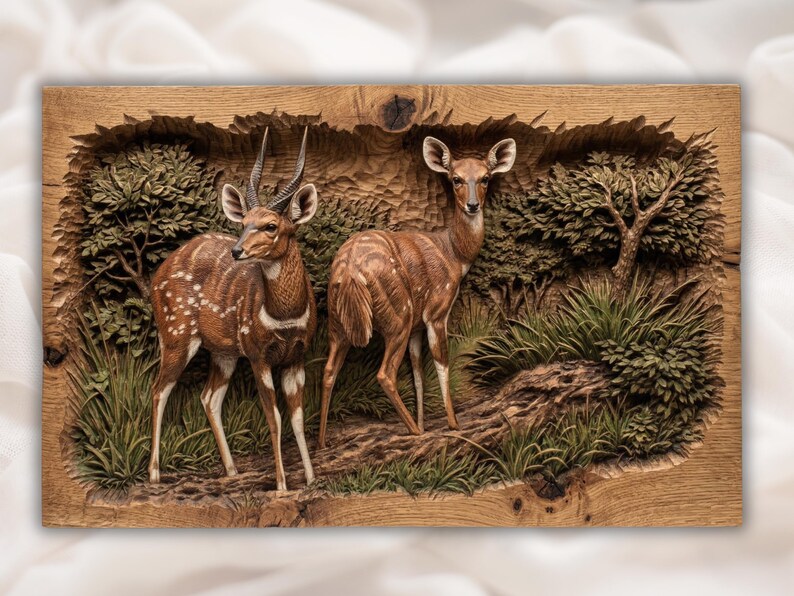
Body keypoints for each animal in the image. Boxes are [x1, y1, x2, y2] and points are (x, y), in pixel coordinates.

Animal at [147, 127, 318, 491]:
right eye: (244, 223)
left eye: (271, 226)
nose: (237, 251)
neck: (285, 316)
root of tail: (157, 276)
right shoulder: (257, 353)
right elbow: (274, 417)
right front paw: (282, 484)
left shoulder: (296, 356)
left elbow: (297, 417)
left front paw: (312, 479)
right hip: (176, 335)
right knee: (159, 389)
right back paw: (154, 473)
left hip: (222, 352)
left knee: (208, 397)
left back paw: (231, 469)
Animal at [317, 136, 517, 448]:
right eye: (456, 179)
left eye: (485, 178)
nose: (473, 205)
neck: (454, 254)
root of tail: (350, 271)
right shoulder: (436, 310)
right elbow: (441, 361)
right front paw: (452, 424)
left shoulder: (415, 327)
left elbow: (417, 371)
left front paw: (426, 421)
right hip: (398, 313)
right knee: (385, 373)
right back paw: (413, 431)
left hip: (337, 322)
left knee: (328, 371)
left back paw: (321, 443)